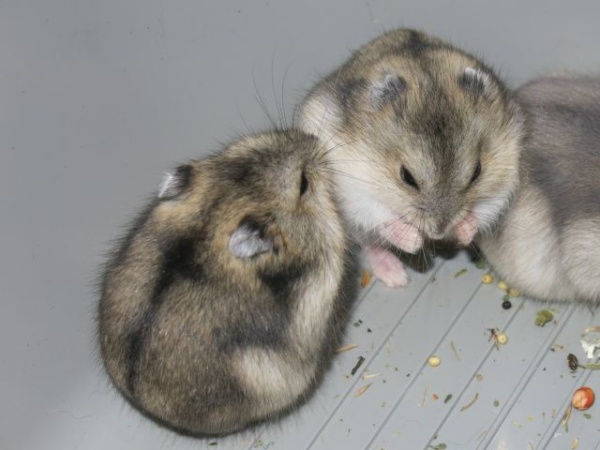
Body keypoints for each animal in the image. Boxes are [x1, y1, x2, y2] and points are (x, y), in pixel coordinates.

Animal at [298, 29, 524, 288]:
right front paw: (414, 241)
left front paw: (463, 233)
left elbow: (483, 210)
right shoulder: (351, 188)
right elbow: (381, 213)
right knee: (368, 243)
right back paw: (397, 276)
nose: (438, 232)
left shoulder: (504, 183)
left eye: (477, 172)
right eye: (407, 177)